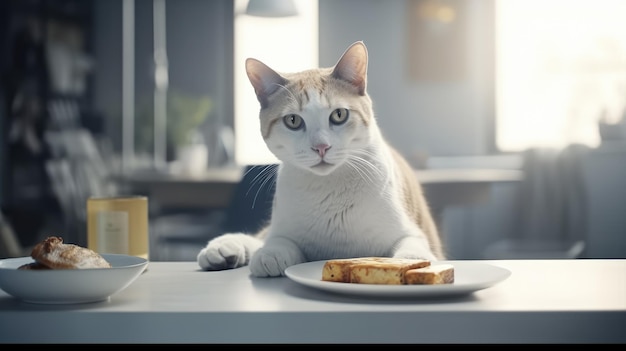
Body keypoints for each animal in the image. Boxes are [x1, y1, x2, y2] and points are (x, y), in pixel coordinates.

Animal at [197, 41, 442, 278]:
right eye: (293, 120)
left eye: (339, 115)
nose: (321, 147)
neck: (329, 190)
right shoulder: (284, 229)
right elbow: (278, 240)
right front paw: (270, 254)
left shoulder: (413, 234)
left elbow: (413, 249)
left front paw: (411, 265)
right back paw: (222, 249)